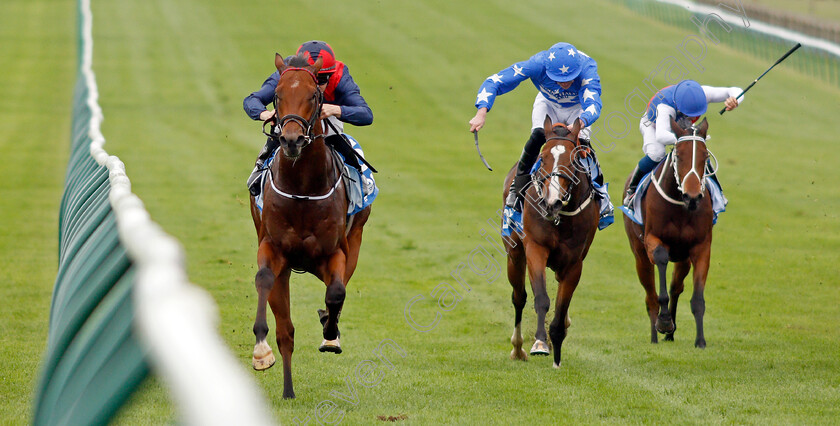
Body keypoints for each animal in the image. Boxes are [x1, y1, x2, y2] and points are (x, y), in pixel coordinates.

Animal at [246, 53, 370, 400]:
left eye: (314, 95)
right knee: (286, 331)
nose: (290, 140)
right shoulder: (273, 249)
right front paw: (261, 352)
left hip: (356, 236)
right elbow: (265, 284)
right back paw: (287, 388)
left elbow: (337, 292)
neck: (302, 188)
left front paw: (330, 332)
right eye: (277, 95)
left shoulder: (334, 253)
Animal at [502, 117, 600, 370]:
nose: (551, 202)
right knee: (519, 297)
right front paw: (540, 344)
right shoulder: (535, 249)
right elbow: (541, 300)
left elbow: (561, 306)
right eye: (543, 157)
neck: (559, 218)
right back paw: (518, 348)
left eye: (573, 159)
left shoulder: (575, 263)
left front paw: (557, 355)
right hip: (514, 254)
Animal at [620, 116, 712, 346]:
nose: (692, 196)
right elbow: (660, 262)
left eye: (705, 156)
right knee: (650, 295)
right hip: (639, 254)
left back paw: (671, 334)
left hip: (683, 259)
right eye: (678, 156)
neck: (680, 206)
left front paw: (700, 341)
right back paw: (656, 334)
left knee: (676, 287)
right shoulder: (653, 239)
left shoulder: (701, 246)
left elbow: (697, 297)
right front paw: (663, 321)